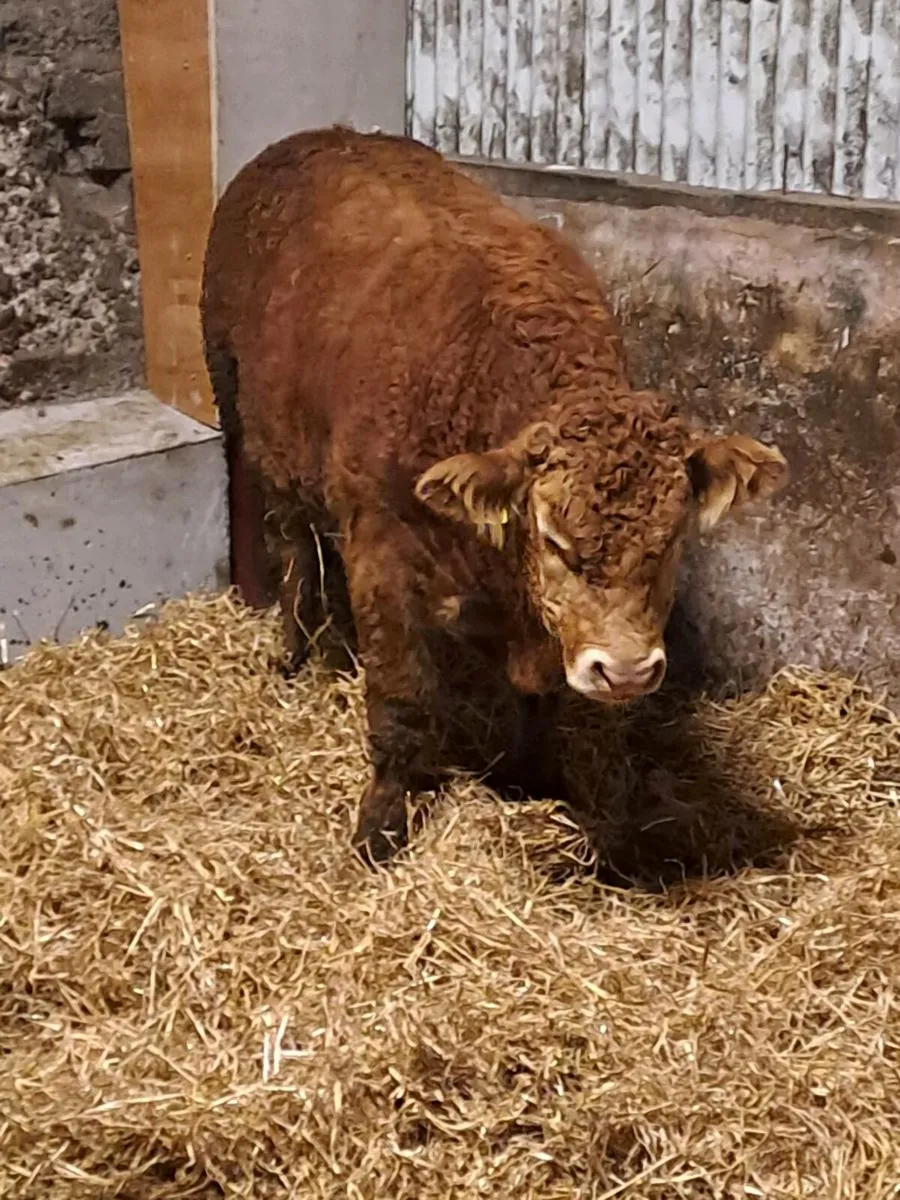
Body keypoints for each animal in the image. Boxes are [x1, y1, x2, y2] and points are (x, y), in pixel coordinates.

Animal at [201, 126, 788, 864]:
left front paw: (532, 779)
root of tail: (318, 137)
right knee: (293, 550)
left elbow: (537, 694)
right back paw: (295, 650)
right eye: (556, 540)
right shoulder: (380, 550)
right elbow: (401, 698)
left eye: (673, 538)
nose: (625, 673)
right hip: (245, 420)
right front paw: (381, 825)